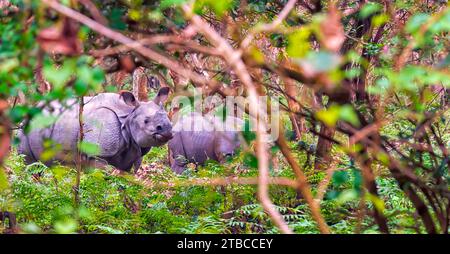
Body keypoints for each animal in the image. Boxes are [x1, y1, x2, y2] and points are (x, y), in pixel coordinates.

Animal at [18, 88, 172, 173]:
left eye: (168, 117)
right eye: (146, 121)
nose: (167, 130)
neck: (128, 116)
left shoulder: (133, 152)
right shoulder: (98, 153)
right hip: (26, 129)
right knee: (30, 164)